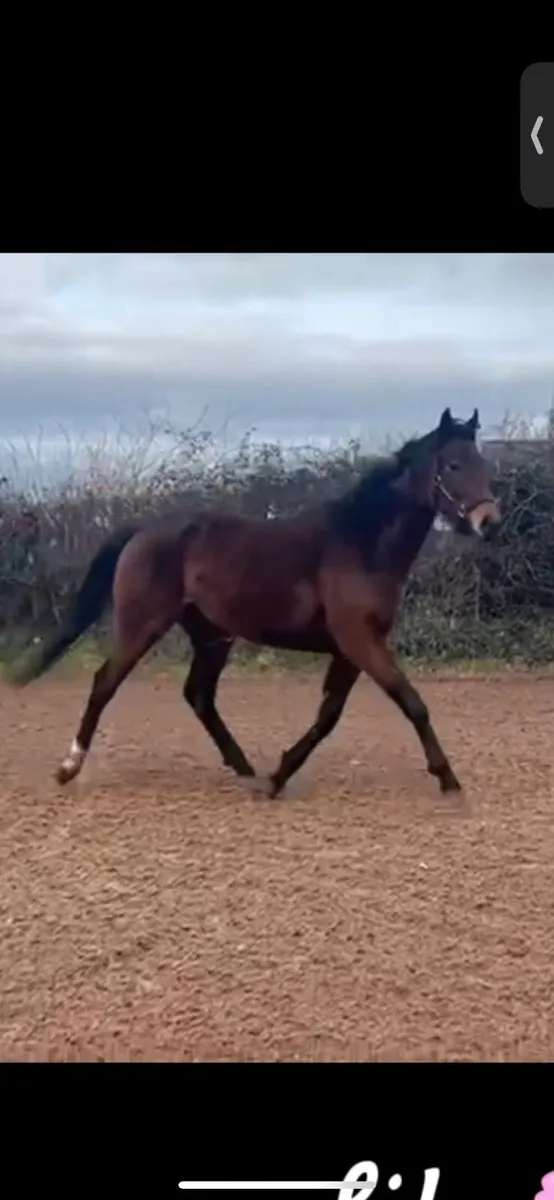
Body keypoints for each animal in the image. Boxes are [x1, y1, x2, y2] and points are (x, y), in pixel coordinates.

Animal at [10, 406, 500, 798]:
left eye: (483, 464)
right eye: (453, 465)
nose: (489, 522)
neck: (361, 542)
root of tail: (144, 529)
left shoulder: (352, 648)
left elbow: (329, 715)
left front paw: (277, 776)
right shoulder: (359, 640)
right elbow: (410, 702)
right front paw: (448, 779)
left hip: (212, 635)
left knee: (198, 695)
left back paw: (244, 768)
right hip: (142, 623)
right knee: (105, 683)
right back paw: (68, 767)